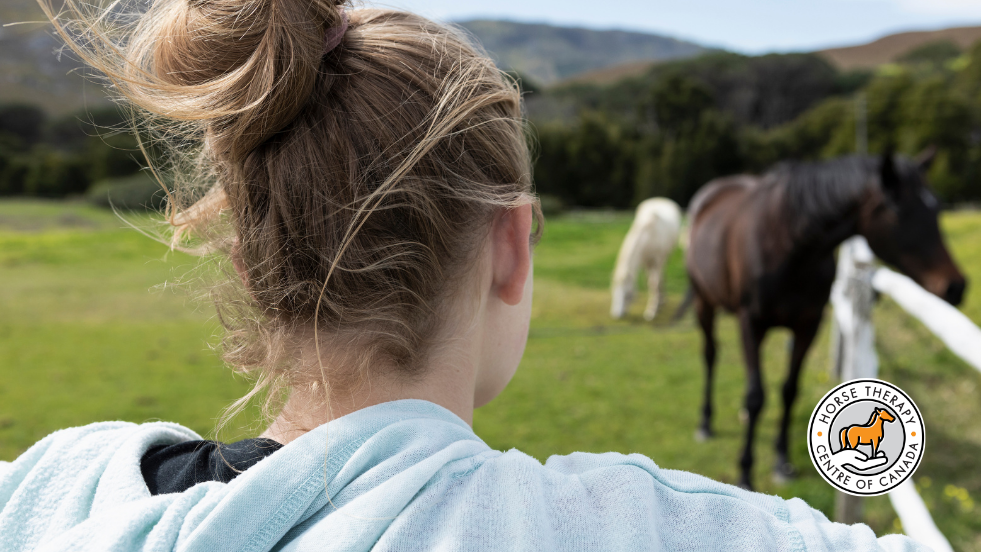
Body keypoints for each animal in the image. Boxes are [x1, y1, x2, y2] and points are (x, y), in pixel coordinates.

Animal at [682, 152, 965, 490]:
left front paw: (782, 462)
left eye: (935, 208)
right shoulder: (750, 324)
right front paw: (745, 472)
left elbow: (789, 391)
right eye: (899, 209)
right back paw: (704, 422)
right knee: (710, 355)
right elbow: (755, 397)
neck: (788, 244)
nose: (956, 286)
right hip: (704, 302)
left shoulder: (808, 326)